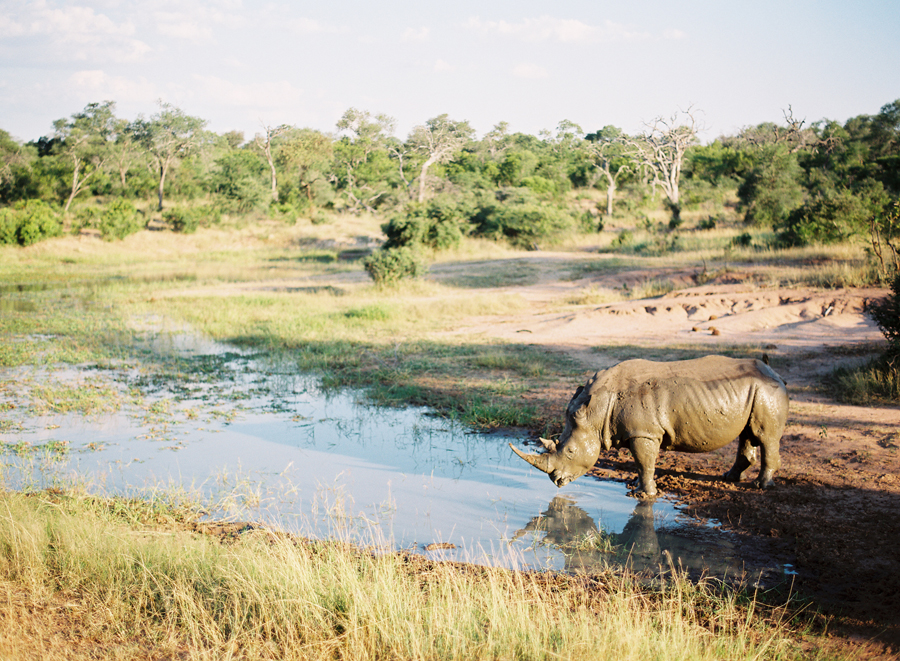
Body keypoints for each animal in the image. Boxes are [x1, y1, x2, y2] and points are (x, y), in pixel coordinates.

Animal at [512, 356, 788, 496]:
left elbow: (644, 463)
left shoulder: (644, 433)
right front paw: (638, 488)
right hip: (754, 391)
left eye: (569, 451)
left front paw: (645, 494)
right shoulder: (641, 432)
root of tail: (773, 372)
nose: (556, 481)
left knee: (766, 437)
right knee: (748, 434)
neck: (595, 411)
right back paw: (729, 478)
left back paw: (761, 487)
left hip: (767, 391)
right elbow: (641, 464)